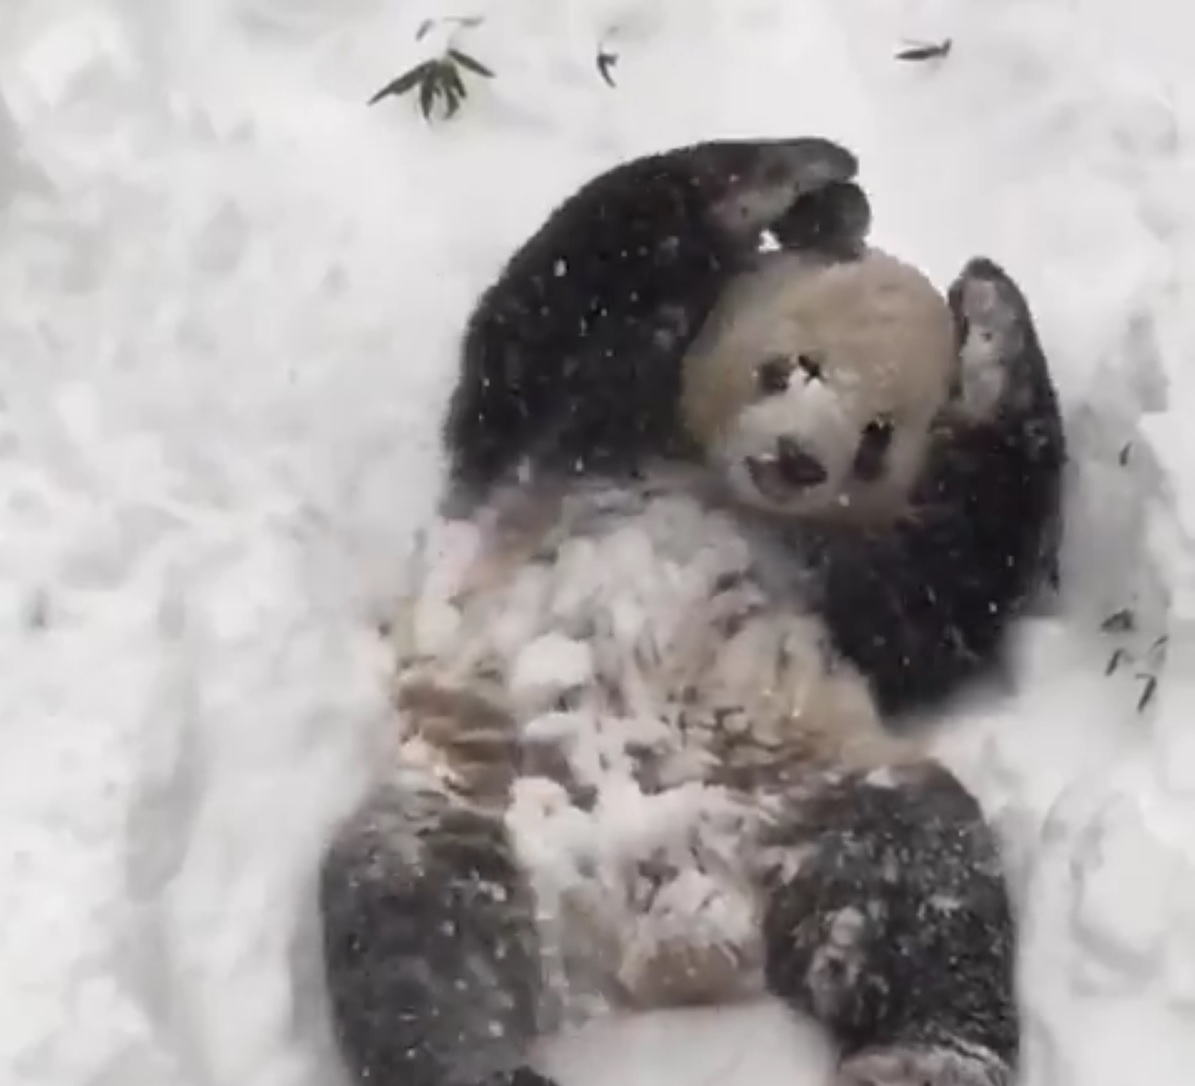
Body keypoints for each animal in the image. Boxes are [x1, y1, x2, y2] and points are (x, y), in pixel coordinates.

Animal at [317, 139, 1065, 1084]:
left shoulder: (845, 583)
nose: (796, 460)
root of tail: (673, 930)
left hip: (825, 798)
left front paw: (989, 313)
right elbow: (542, 310)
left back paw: (924, 1059)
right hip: (475, 796)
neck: (721, 484)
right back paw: (483, 1065)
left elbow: (952, 578)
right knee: (413, 929)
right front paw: (807, 175)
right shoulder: (571, 429)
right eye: (789, 368)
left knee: (932, 892)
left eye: (876, 437)